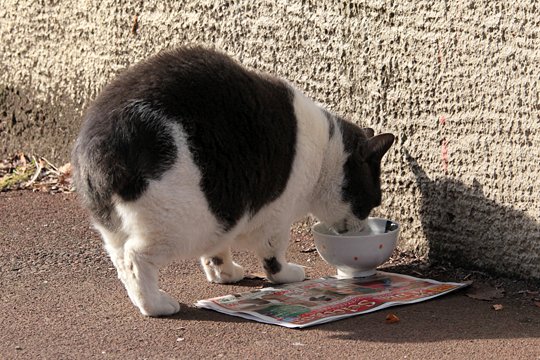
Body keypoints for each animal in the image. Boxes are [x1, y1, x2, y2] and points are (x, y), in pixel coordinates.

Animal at [71, 46, 394, 316]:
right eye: (370, 203)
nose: (363, 228)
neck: (326, 151)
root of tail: (103, 139)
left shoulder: (228, 212)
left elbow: (218, 248)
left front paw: (224, 273)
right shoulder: (276, 213)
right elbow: (273, 252)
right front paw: (286, 276)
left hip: (125, 225)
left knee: (121, 261)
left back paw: (142, 299)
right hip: (179, 218)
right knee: (136, 257)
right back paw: (157, 306)